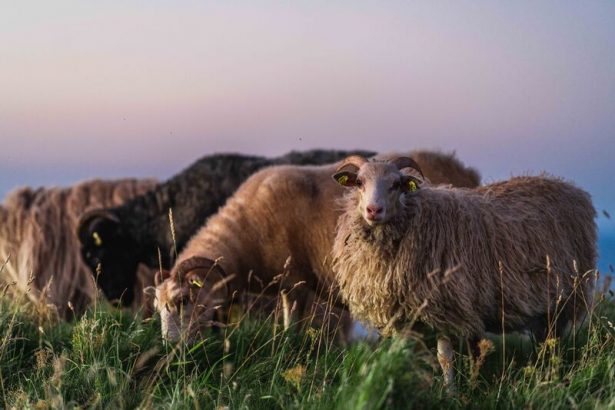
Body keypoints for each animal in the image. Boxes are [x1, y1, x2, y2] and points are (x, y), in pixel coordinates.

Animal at [154, 151, 482, 342]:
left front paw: (289, 350)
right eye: (157, 306)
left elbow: (291, 327)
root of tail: (466, 170)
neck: (248, 232)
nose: (171, 348)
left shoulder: (294, 283)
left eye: (184, 300)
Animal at [332, 156, 596, 390]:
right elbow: (405, 356)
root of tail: (569, 188)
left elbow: (444, 358)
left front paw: (451, 393)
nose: (373, 210)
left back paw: (550, 376)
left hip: (564, 298)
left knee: (554, 344)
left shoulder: (445, 306)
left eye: (396, 184)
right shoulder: (405, 316)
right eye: (359, 182)